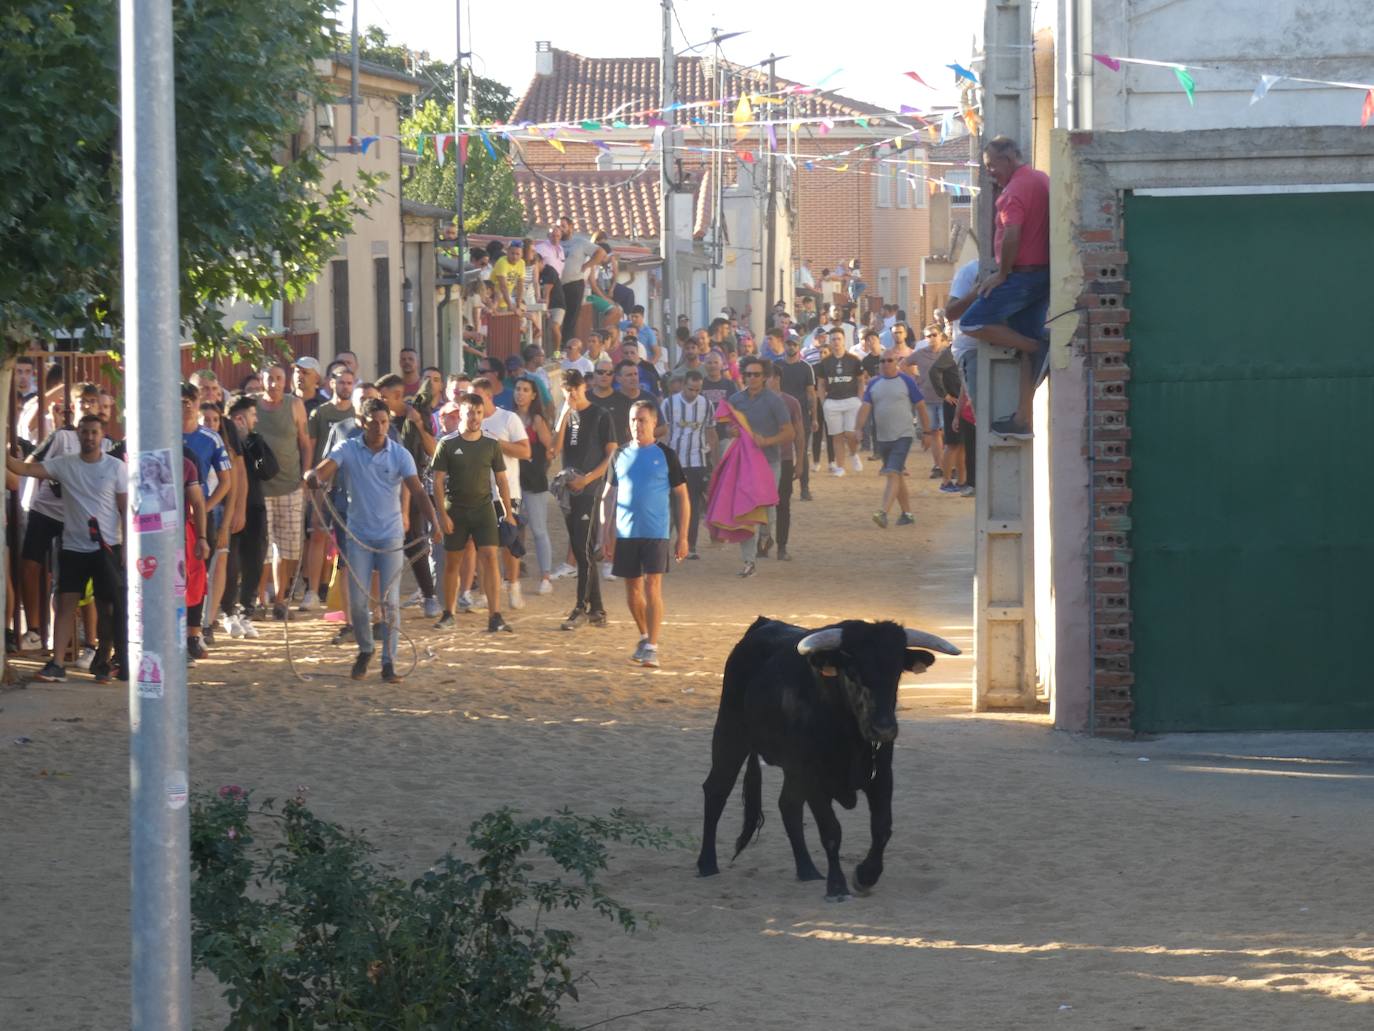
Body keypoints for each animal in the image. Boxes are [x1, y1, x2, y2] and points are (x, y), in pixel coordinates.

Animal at [697, 618, 956, 901]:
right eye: (852, 670)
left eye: (897, 671)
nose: (884, 729)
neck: (849, 733)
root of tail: (762, 625)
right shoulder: (814, 778)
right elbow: (831, 830)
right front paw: (837, 886)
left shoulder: (882, 776)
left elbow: (882, 827)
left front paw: (865, 876)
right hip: (730, 734)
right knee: (717, 789)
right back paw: (707, 864)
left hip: (791, 768)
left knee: (788, 805)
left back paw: (807, 870)